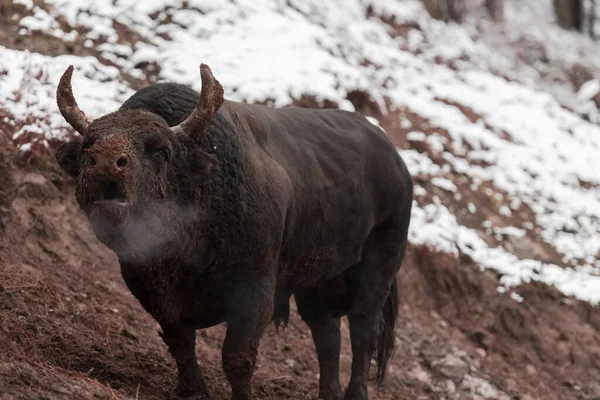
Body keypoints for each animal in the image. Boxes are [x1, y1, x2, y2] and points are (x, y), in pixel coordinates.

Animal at [54, 64, 412, 398]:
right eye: (87, 147)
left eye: (161, 150)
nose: (104, 161)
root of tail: (398, 163)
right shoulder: (151, 292)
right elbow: (180, 342)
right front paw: (194, 390)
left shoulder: (254, 292)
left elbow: (237, 357)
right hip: (315, 283)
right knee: (327, 335)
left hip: (377, 271)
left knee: (363, 331)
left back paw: (356, 392)